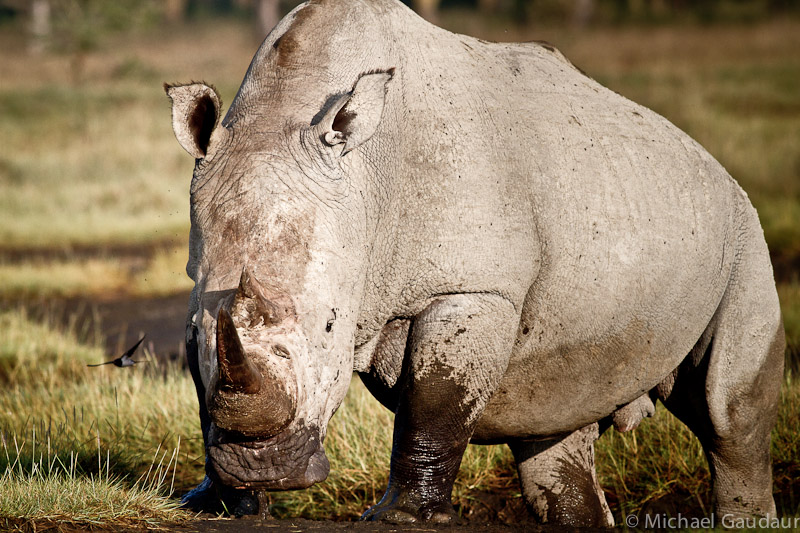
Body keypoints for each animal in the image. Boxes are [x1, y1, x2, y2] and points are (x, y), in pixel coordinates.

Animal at [166, 0, 784, 524]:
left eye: (330, 326)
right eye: (193, 331)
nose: (264, 469)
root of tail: (714, 165)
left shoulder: (474, 287)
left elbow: (436, 395)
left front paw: (398, 517)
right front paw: (211, 503)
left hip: (741, 230)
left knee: (730, 417)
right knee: (554, 434)